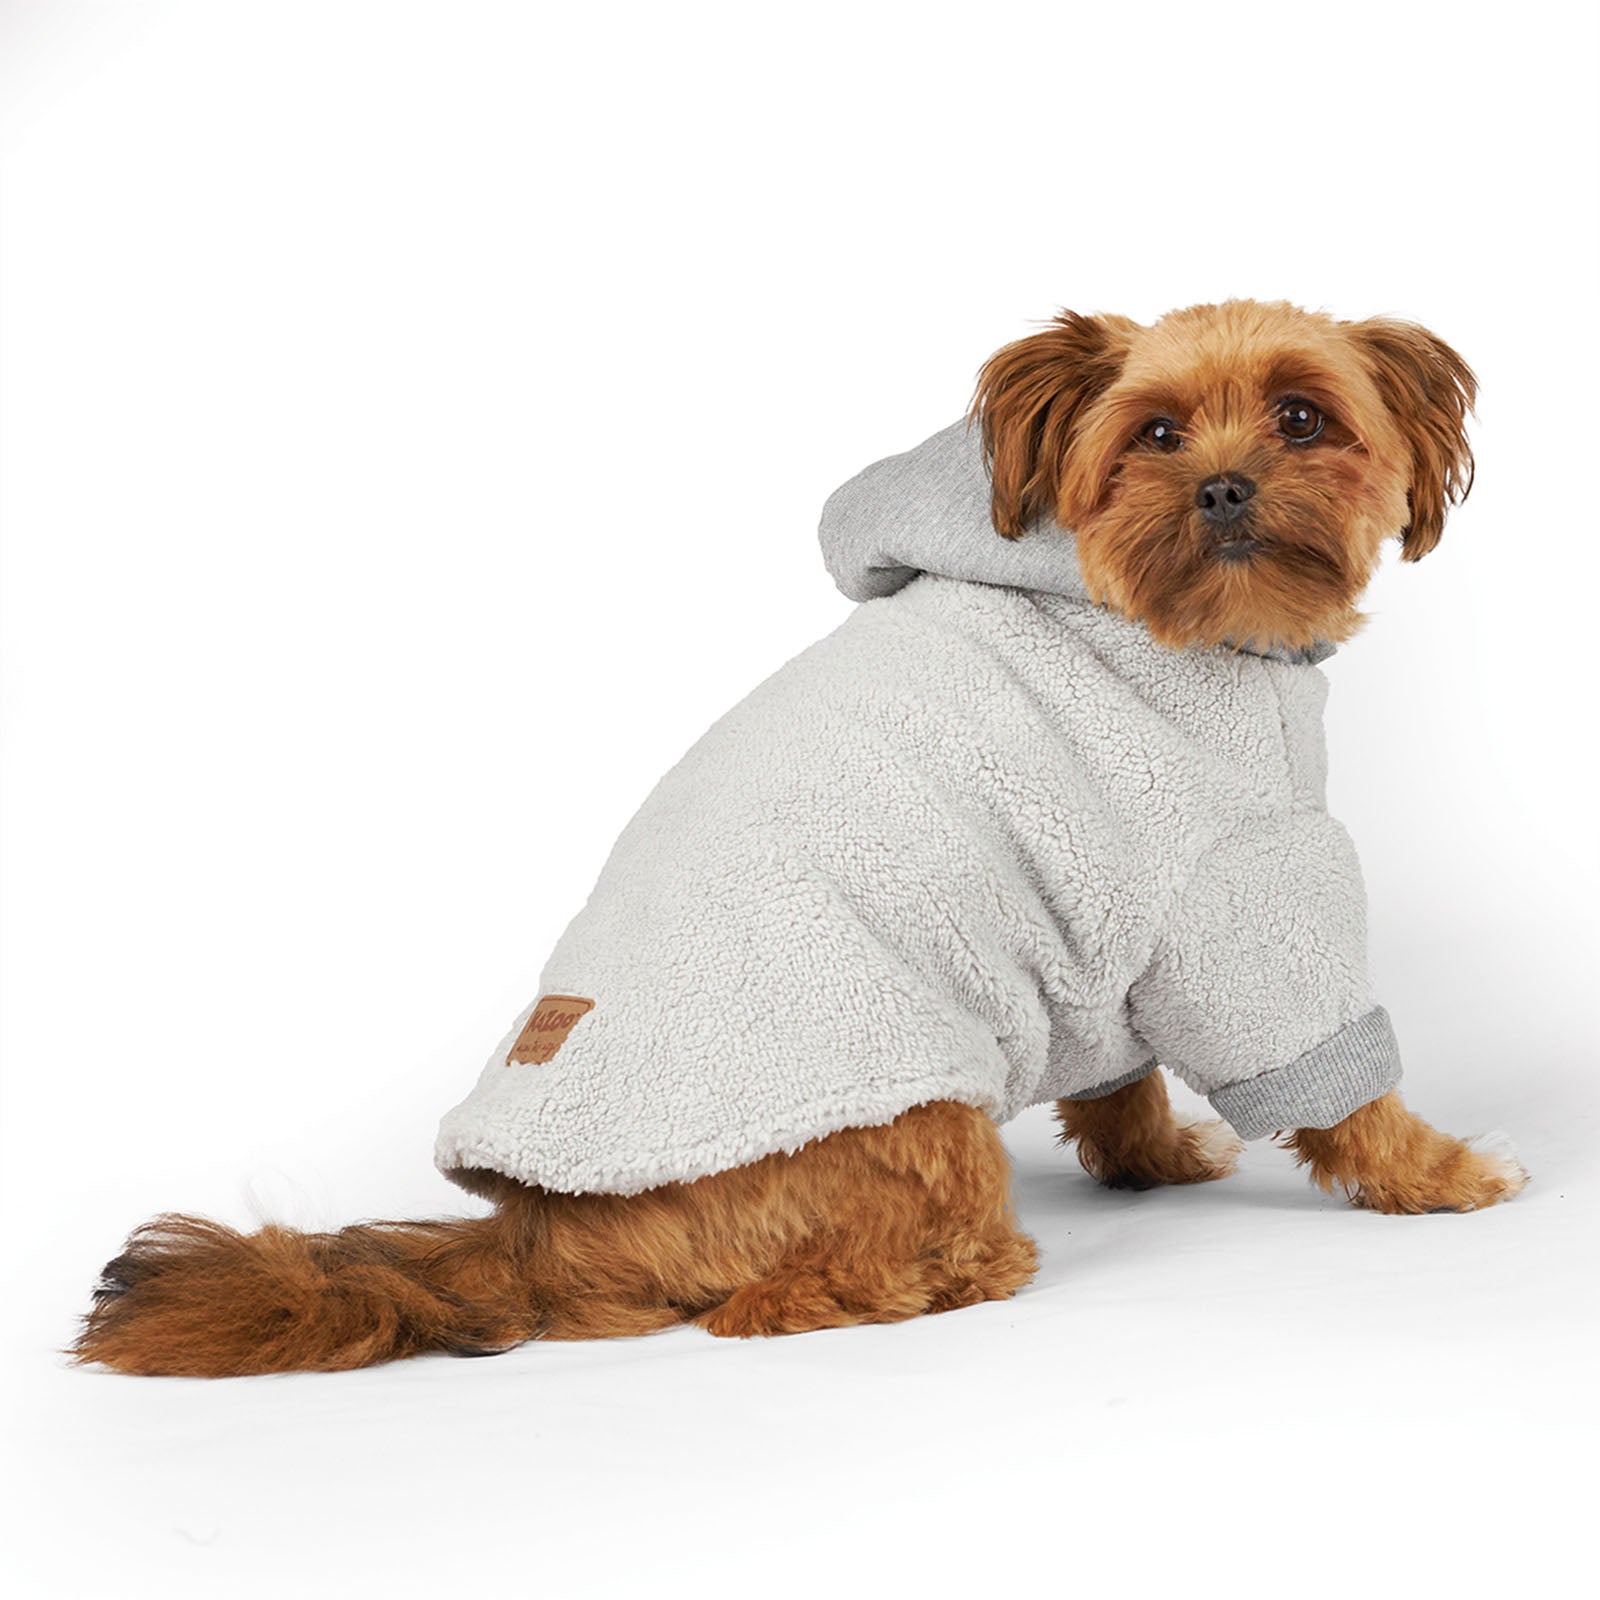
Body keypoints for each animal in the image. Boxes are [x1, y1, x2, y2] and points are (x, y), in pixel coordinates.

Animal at [74, 299, 1527, 1377]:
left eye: (1303, 416)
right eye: (1155, 432)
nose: (1225, 486)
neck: (1136, 612)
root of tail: (537, 1230)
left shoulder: (1110, 931)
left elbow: (1115, 1071)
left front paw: (1152, 1160)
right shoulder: (1235, 892)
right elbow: (1337, 1088)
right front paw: (1444, 1173)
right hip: (919, 1113)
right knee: (776, 1302)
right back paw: (955, 1271)